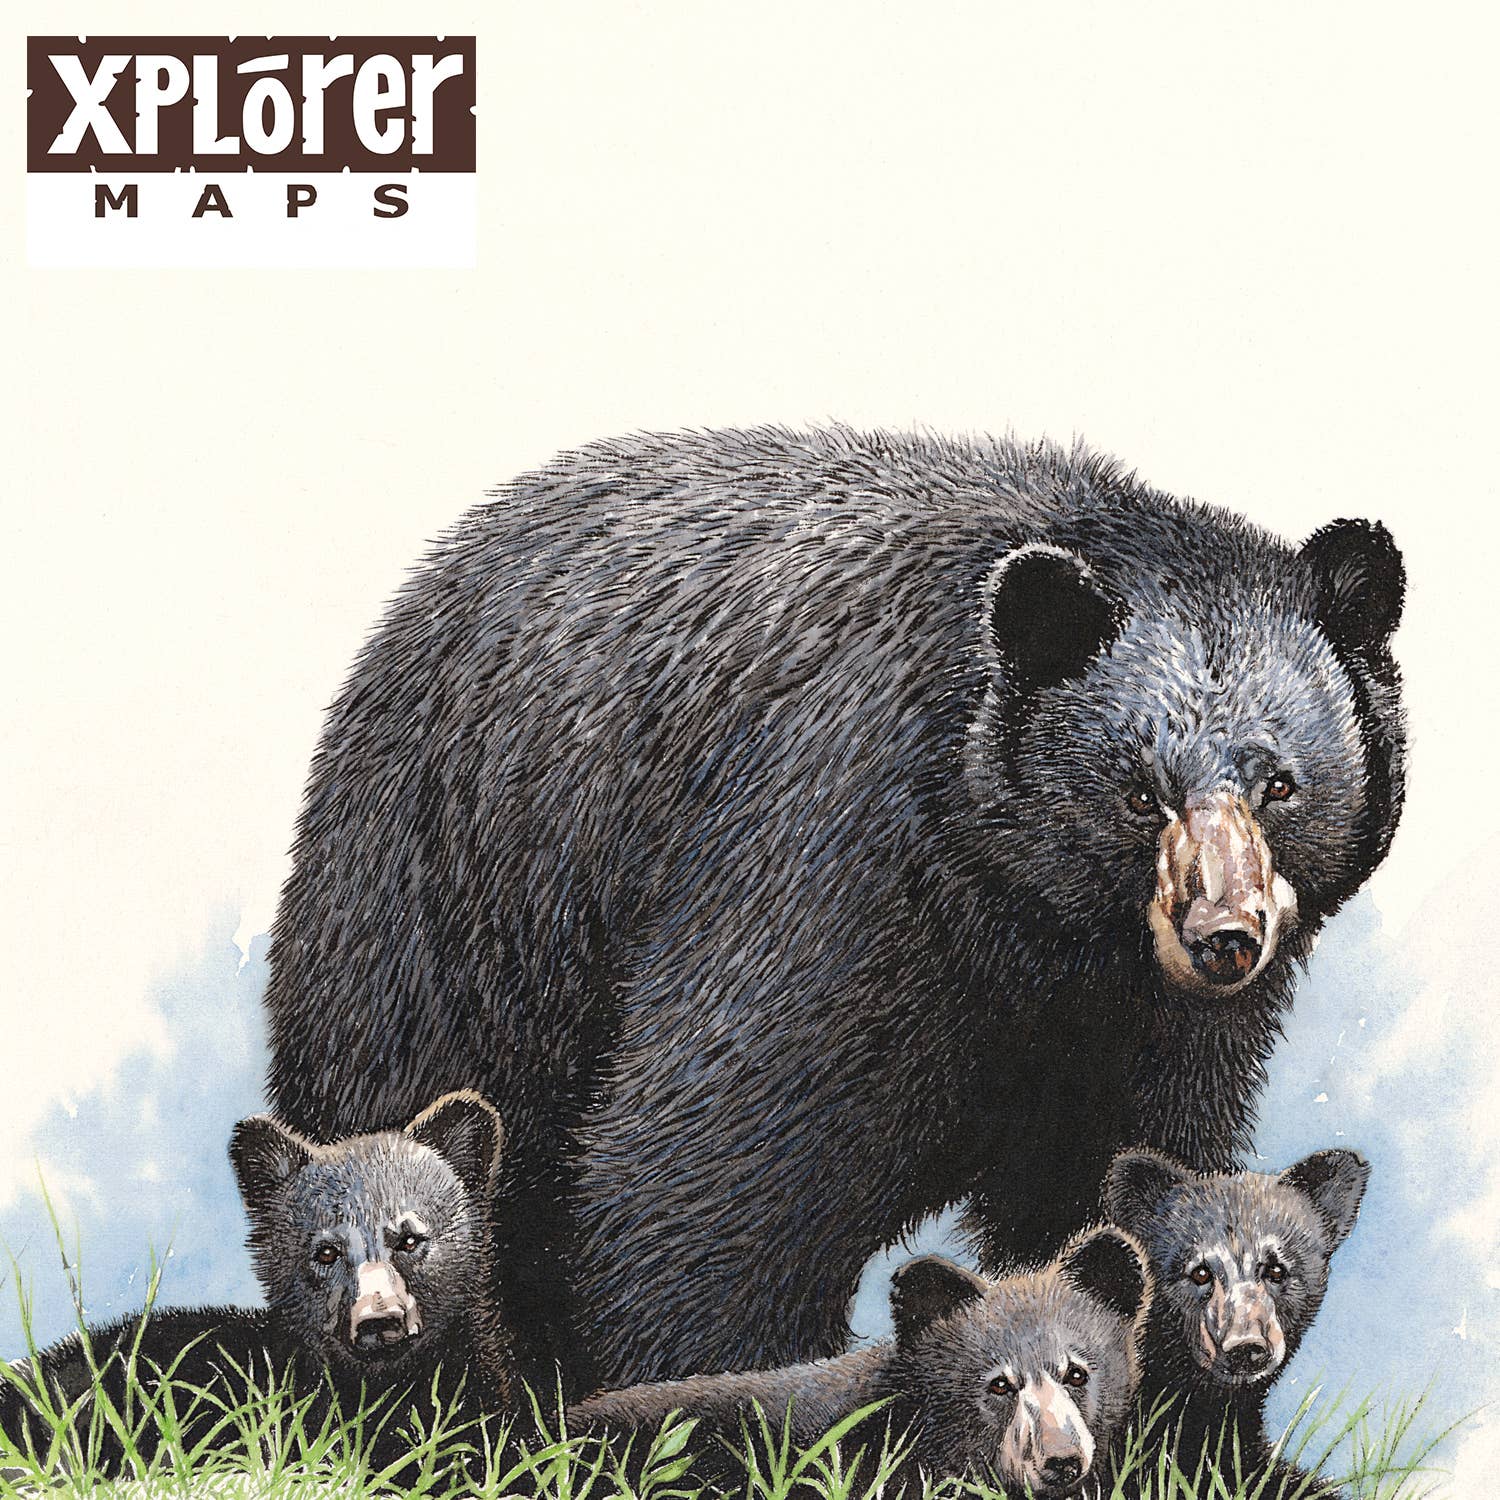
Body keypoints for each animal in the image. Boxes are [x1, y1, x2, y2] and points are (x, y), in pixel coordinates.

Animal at [260, 425, 1406, 1390]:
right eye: (1137, 791)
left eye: (1280, 784)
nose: (1224, 939)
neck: (1030, 913)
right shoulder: (843, 861)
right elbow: (707, 1163)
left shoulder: (1141, 1019)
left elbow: (1120, 1165)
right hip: (446, 911)